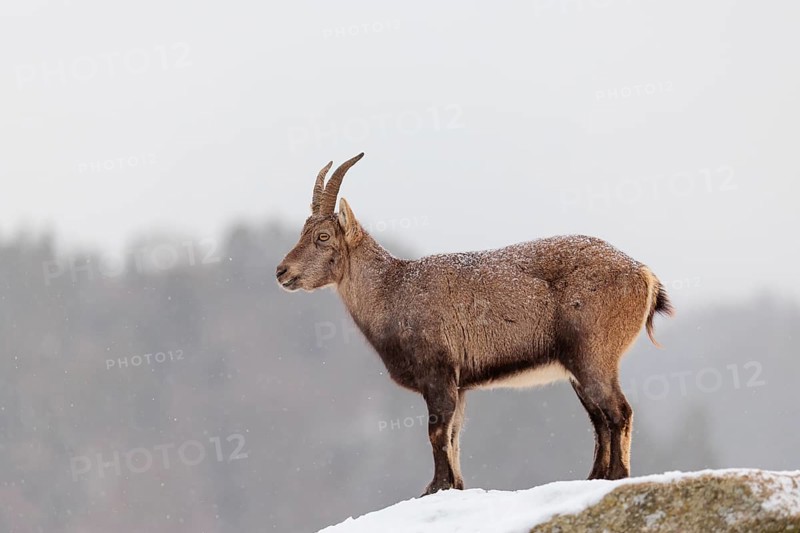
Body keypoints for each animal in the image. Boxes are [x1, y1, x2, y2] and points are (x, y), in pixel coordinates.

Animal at [276, 153, 674, 496]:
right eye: (303, 232)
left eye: (323, 237)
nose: (282, 271)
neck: (393, 290)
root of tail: (644, 275)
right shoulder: (460, 383)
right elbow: (454, 436)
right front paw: (454, 486)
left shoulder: (438, 373)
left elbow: (436, 433)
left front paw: (435, 488)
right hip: (579, 366)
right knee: (600, 419)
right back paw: (593, 478)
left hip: (593, 355)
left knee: (618, 413)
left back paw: (617, 476)